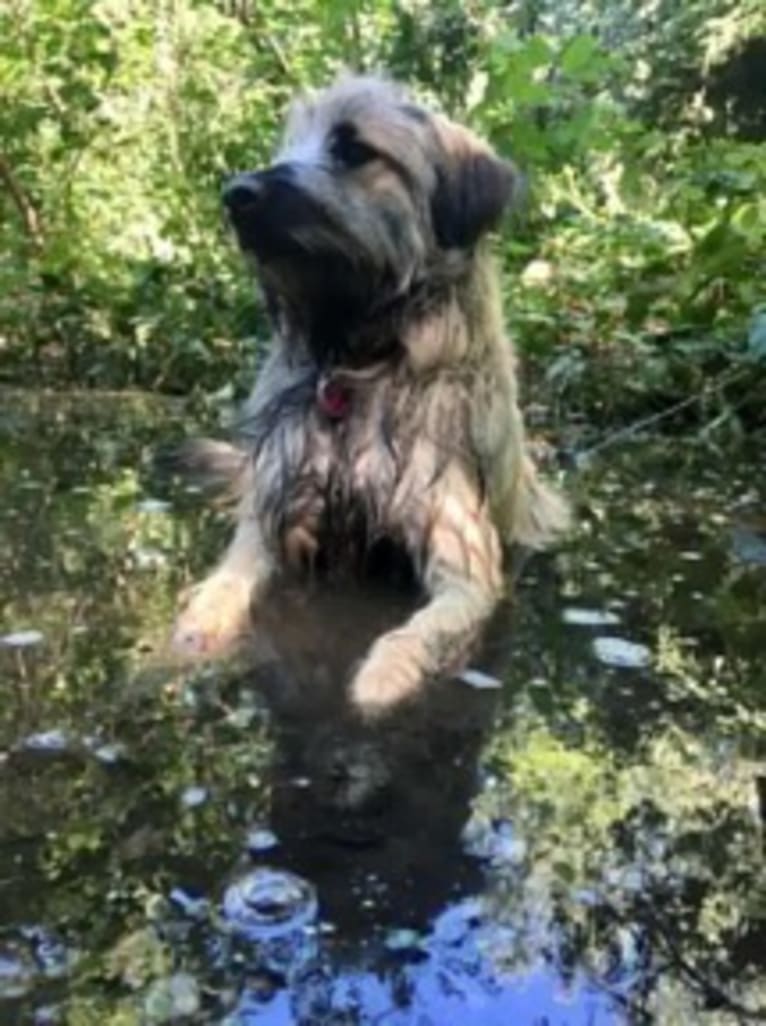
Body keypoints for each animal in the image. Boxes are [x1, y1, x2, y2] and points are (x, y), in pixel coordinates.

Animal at [173, 75, 570, 714]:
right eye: (289, 143)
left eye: (352, 149)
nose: (235, 194)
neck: (359, 359)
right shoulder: (271, 516)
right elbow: (228, 578)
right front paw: (196, 627)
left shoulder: (465, 565)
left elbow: (418, 632)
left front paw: (381, 677)